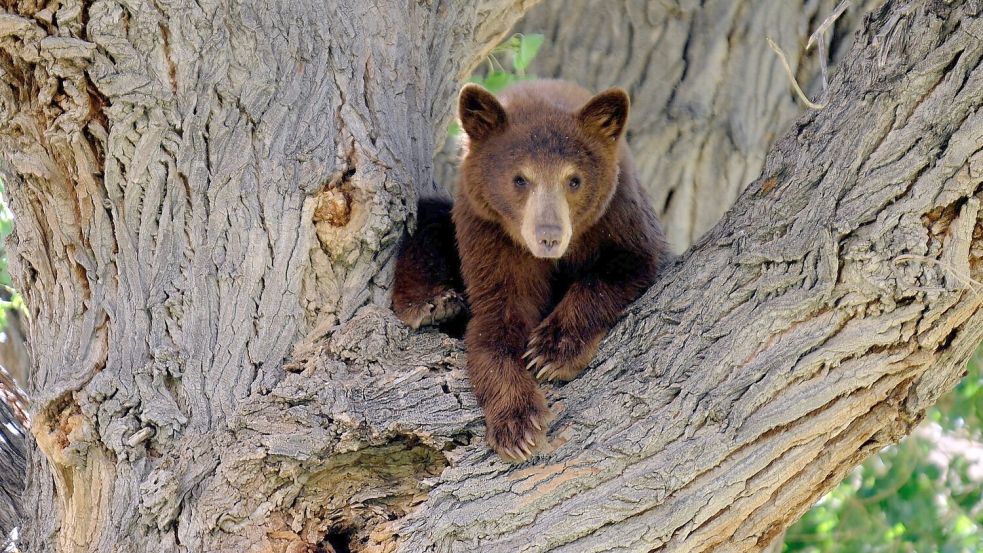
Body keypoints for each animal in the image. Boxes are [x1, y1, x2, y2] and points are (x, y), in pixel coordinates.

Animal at [393, 79, 668, 461]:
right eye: (520, 179)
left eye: (574, 180)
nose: (548, 236)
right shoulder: (488, 233)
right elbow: (497, 319)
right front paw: (517, 424)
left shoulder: (620, 214)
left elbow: (629, 265)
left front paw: (552, 350)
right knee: (430, 215)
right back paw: (430, 303)